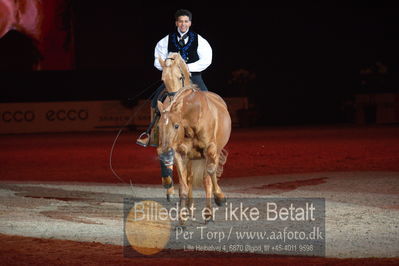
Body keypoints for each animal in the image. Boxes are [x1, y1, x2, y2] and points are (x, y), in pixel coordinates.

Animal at [156, 52, 231, 222]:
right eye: (163, 79)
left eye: (180, 76)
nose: (172, 100)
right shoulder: (180, 153)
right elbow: (184, 185)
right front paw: (182, 217)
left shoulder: (210, 151)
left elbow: (209, 176)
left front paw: (213, 206)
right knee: (189, 178)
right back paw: (188, 208)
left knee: (208, 174)